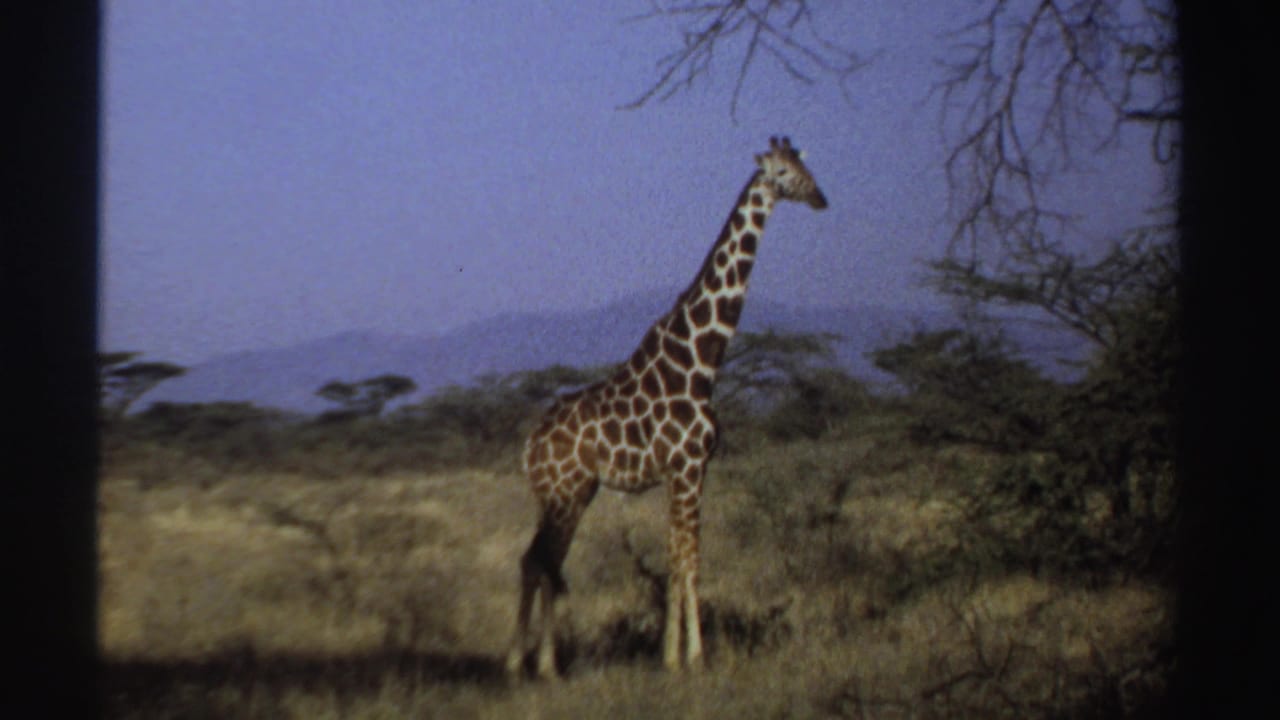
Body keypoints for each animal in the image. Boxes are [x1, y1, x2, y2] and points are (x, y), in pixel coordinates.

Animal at [506, 136, 828, 680]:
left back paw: (528, 664)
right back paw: (537, 665)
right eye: (783, 172)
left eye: (807, 167)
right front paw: (695, 657)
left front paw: (669, 655)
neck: (701, 362)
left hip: (566, 494)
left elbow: (676, 559)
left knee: (539, 561)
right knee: (543, 561)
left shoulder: (685, 473)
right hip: (565, 494)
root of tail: (530, 446)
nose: (821, 198)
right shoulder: (689, 466)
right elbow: (691, 560)